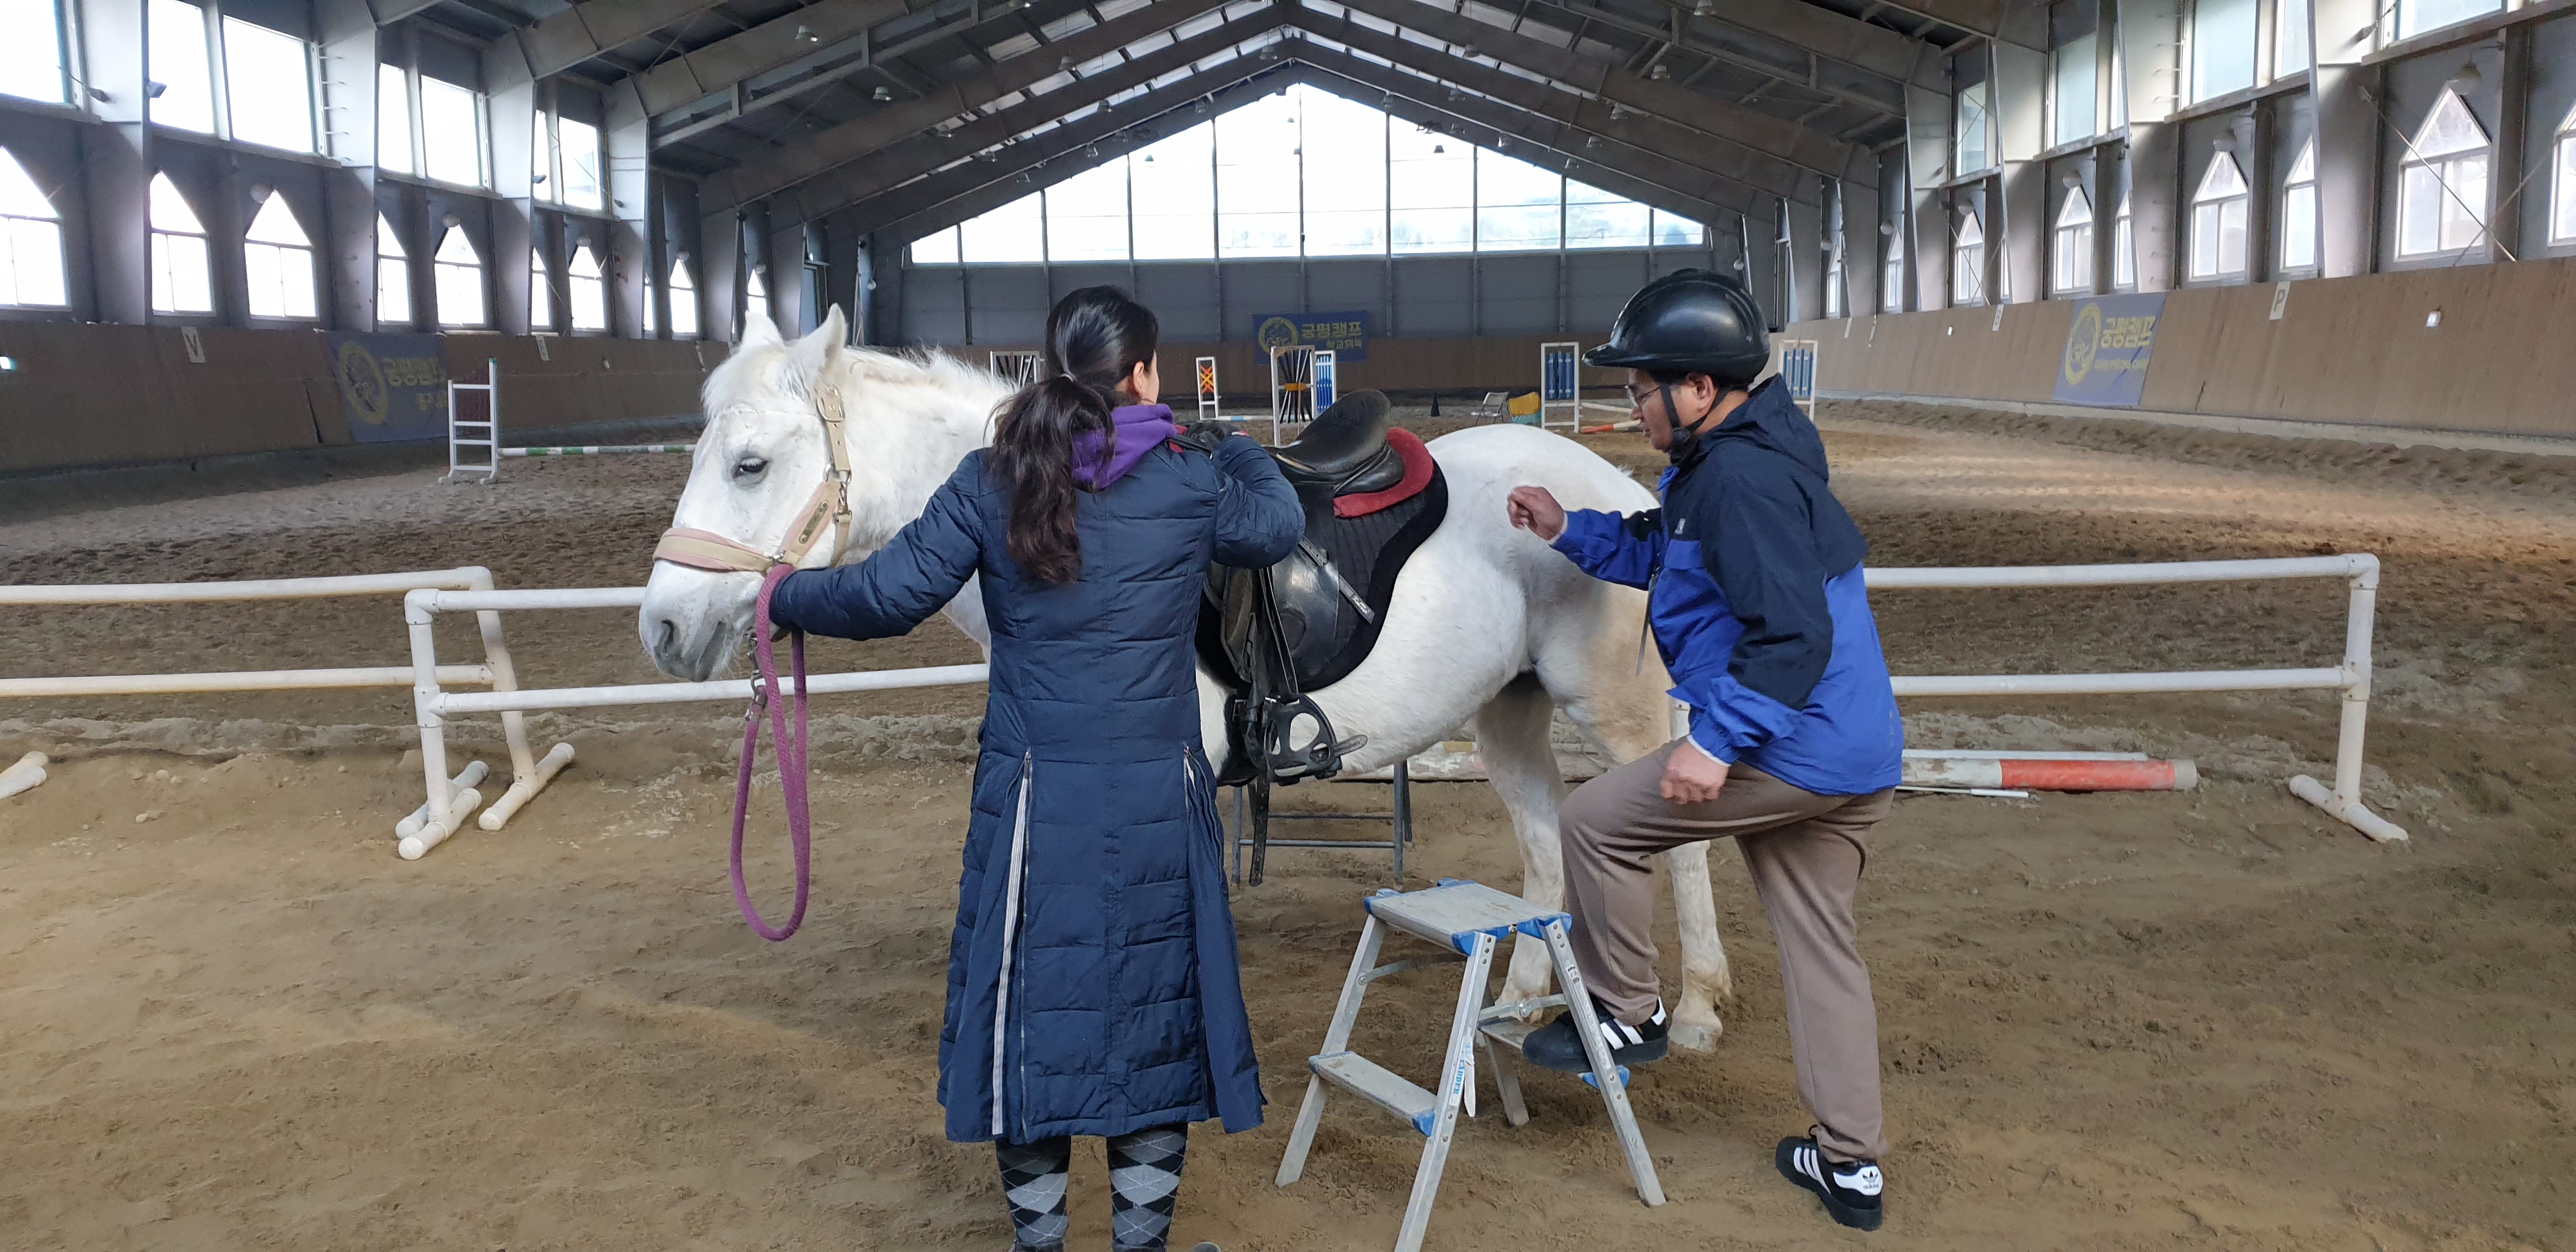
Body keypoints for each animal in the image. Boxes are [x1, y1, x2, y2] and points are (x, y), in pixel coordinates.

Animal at [639, 309, 1733, 1050]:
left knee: (1675, 842)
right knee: (1546, 847)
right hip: (1507, 710)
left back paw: (1697, 1009)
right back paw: (1513, 1005)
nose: (662, 627)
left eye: (748, 463)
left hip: (1618, 712)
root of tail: (1627, 493)